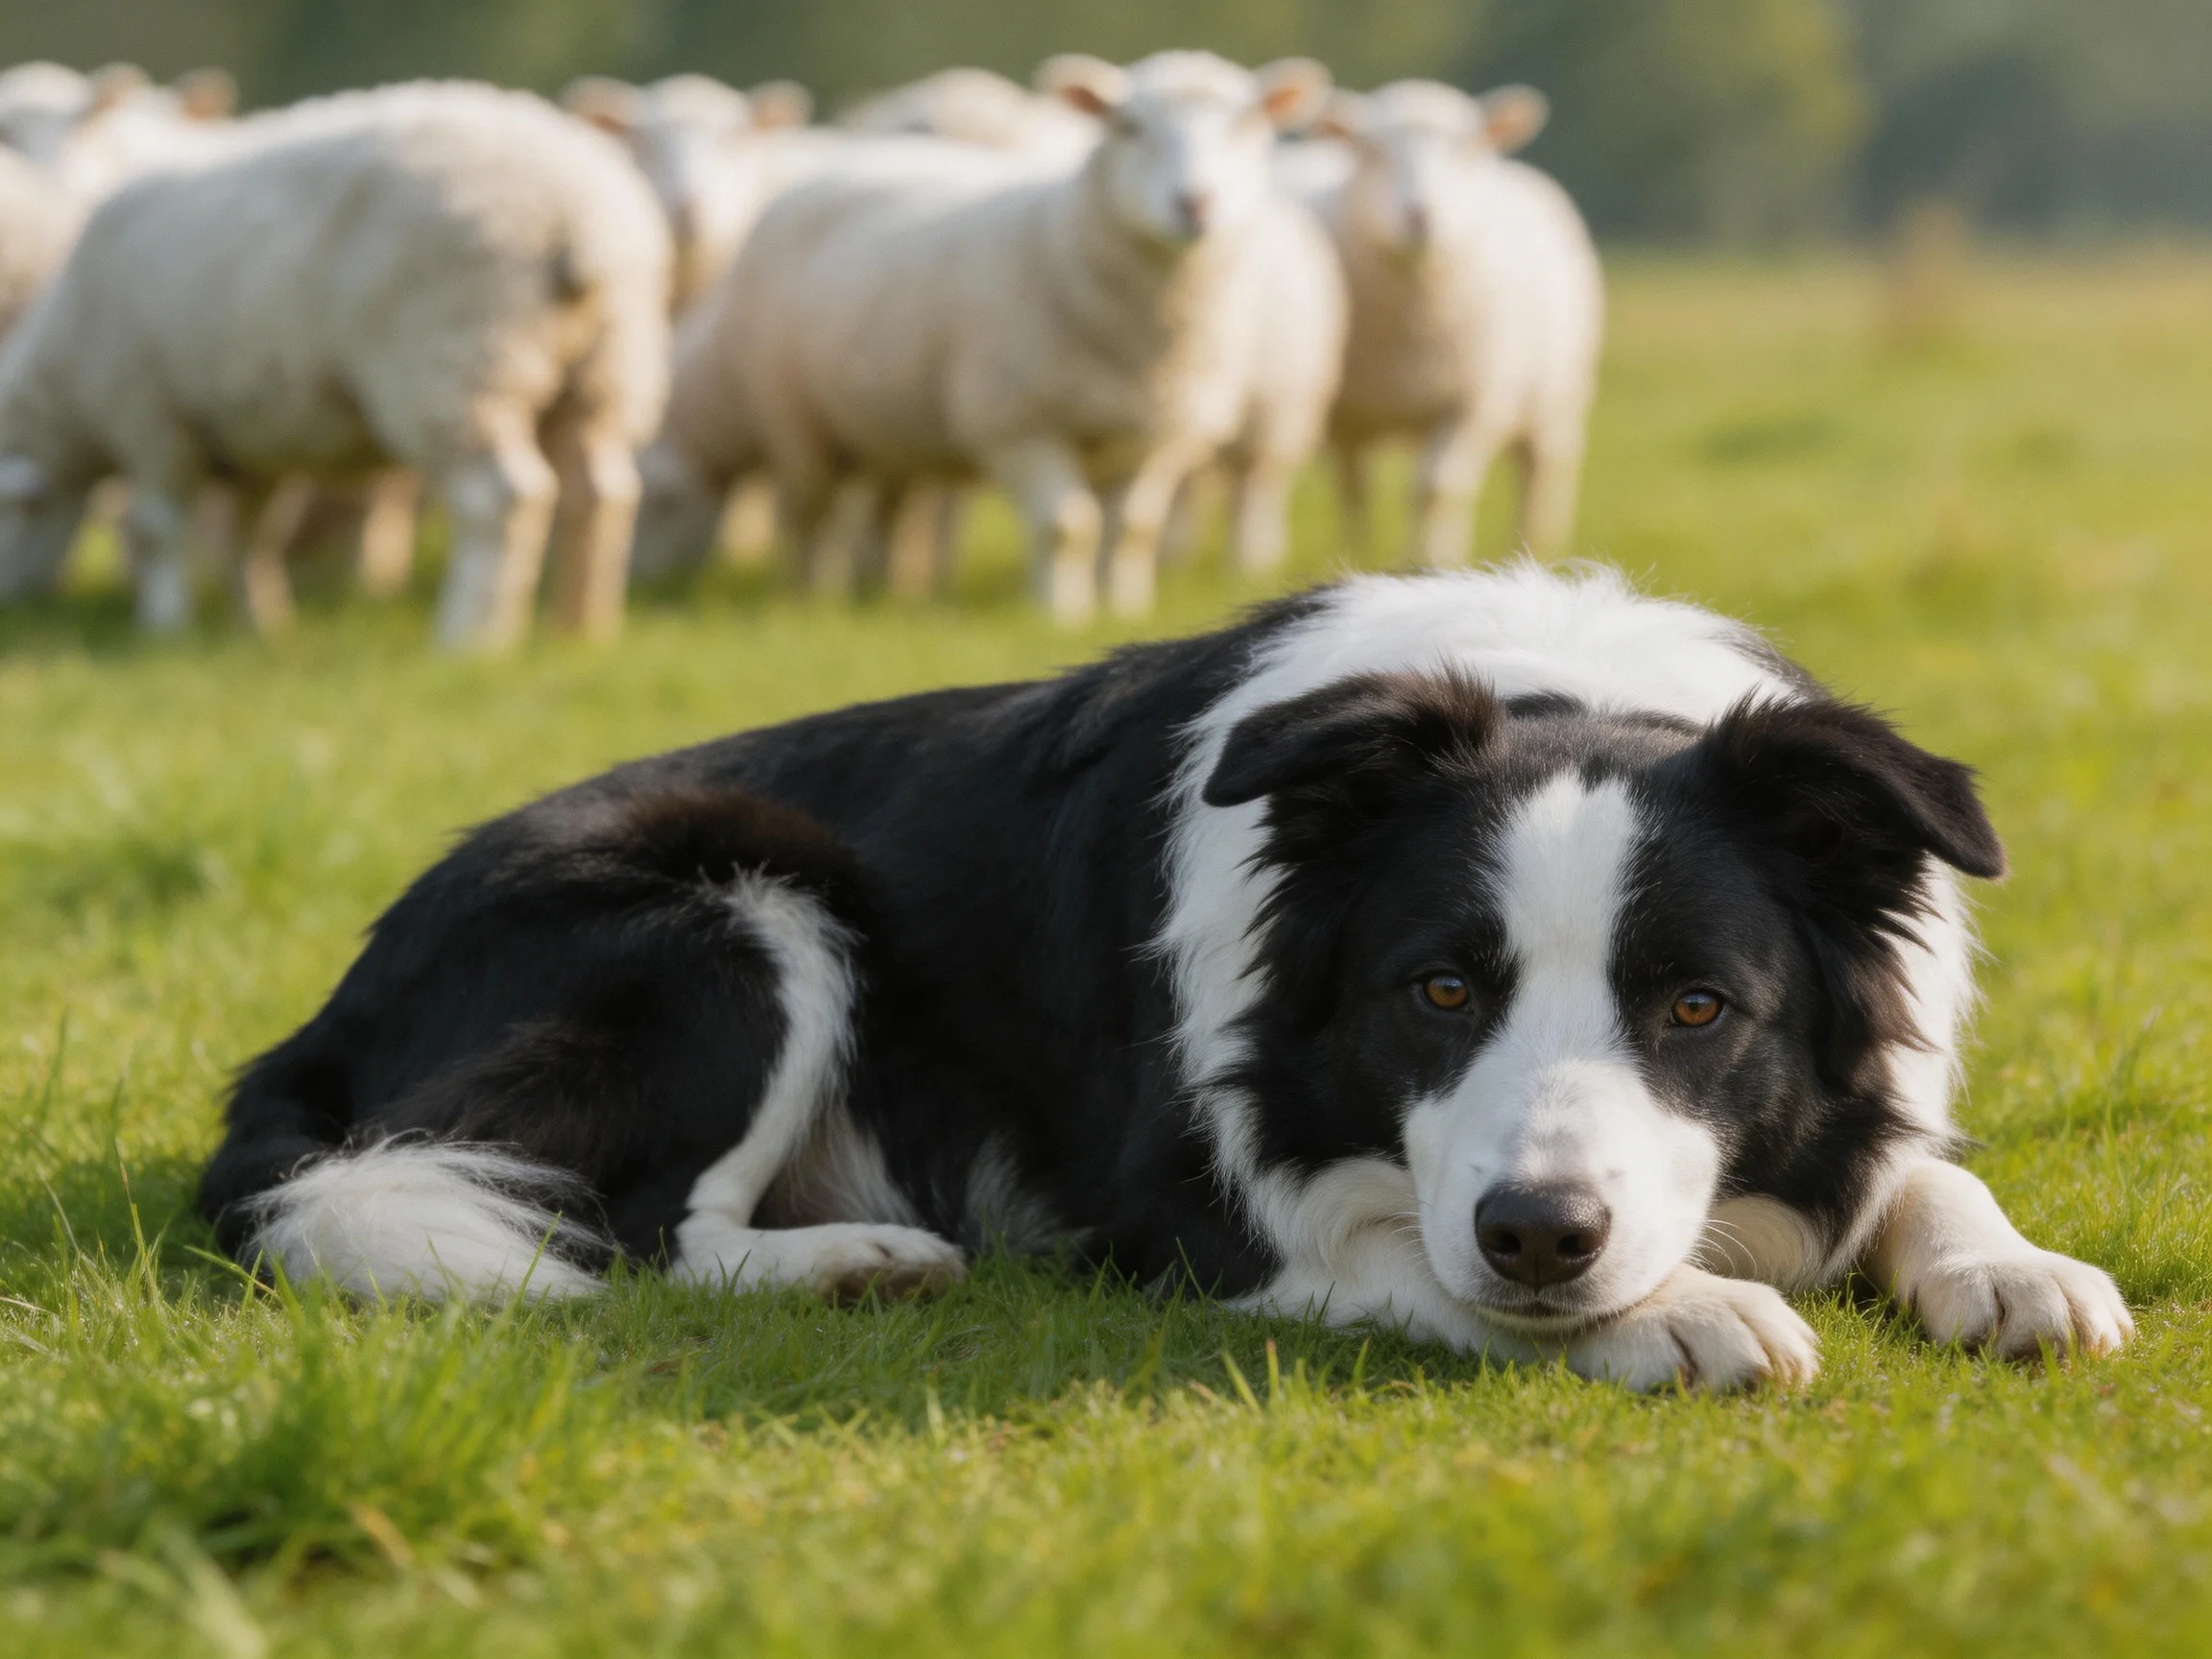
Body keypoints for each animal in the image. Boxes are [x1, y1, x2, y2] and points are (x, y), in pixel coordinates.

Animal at [0, 81, 670, 650]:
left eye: (16, 509)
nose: (19, 605)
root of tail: (583, 218)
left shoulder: (150, 415)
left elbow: (156, 527)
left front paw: (165, 627)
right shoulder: (246, 442)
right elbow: (251, 533)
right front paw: (259, 623)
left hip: (456, 361)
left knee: (500, 497)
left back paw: (470, 639)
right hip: (603, 372)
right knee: (602, 493)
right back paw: (580, 629)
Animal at [636, 52, 1331, 624]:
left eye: (1246, 127)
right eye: (1127, 126)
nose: (1195, 204)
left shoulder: (1158, 434)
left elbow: (1132, 529)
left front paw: (1124, 607)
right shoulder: (1017, 423)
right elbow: (1065, 527)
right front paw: (1062, 614)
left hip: (889, 424)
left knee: (886, 507)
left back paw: (884, 585)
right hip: (799, 419)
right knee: (814, 511)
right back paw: (815, 596)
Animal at [1308, 81, 1603, 566]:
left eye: (1466, 148)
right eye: (1372, 151)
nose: (1421, 216)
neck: (1412, 326)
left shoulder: (1471, 403)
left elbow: (1436, 489)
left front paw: (1431, 562)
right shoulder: (1346, 417)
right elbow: (1354, 490)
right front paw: (1356, 554)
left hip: (1555, 397)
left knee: (1541, 470)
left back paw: (1535, 547)